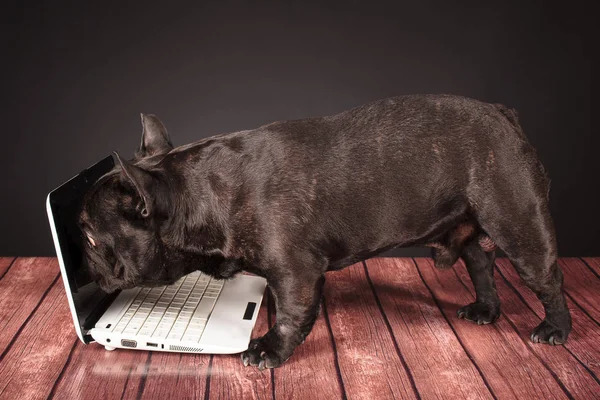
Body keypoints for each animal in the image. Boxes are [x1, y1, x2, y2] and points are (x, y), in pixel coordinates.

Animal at [78, 94, 572, 368]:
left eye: (88, 237)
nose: (83, 260)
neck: (197, 193)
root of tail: (504, 115)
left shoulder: (296, 271)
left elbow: (292, 313)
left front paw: (268, 351)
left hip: (517, 221)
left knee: (547, 278)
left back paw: (555, 329)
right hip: (469, 223)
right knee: (481, 261)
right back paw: (486, 310)